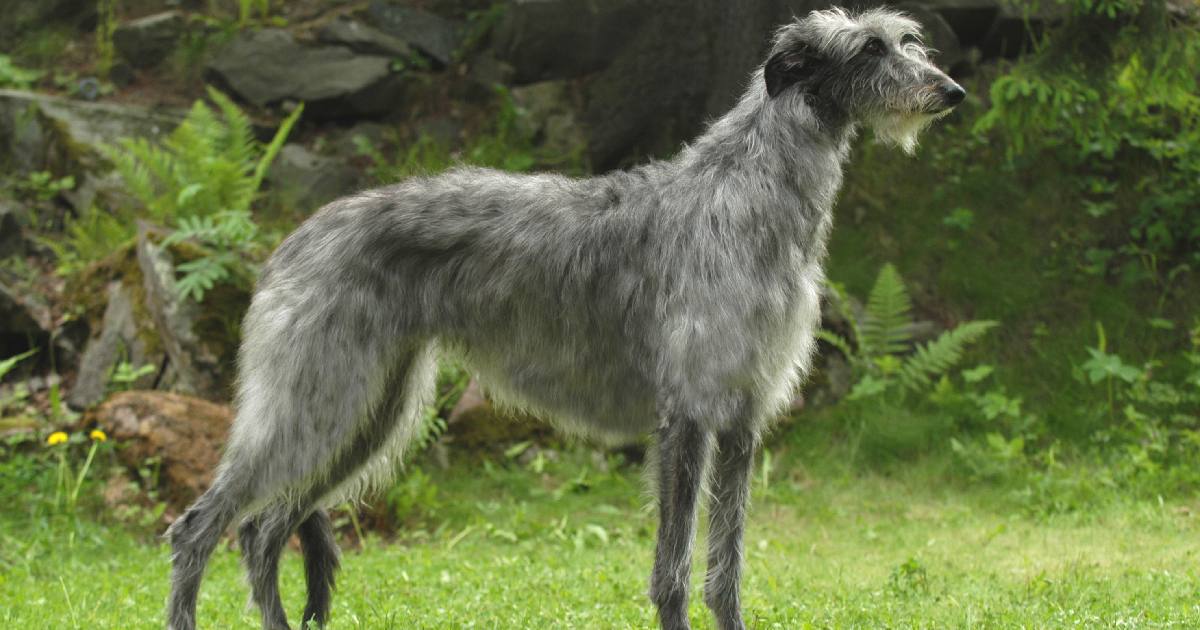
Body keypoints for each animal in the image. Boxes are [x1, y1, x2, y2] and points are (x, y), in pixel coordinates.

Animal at [164, 6, 964, 628]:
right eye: (869, 49)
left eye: (908, 40)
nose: (951, 90)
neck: (748, 192)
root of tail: (294, 236)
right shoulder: (686, 415)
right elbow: (673, 571)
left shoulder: (741, 418)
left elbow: (726, 568)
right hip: (316, 396)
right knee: (201, 527)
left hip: (368, 410)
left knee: (265, 530)